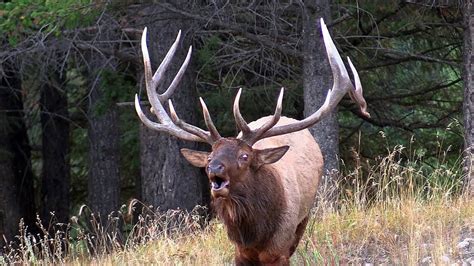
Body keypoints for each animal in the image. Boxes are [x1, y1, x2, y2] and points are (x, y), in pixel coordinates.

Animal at [135, 18, 368, 264]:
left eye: (244, 156)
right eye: (209, 157)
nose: (214, 168)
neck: (255, 234)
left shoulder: (280, 250)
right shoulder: (240, 252)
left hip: (304, 217)